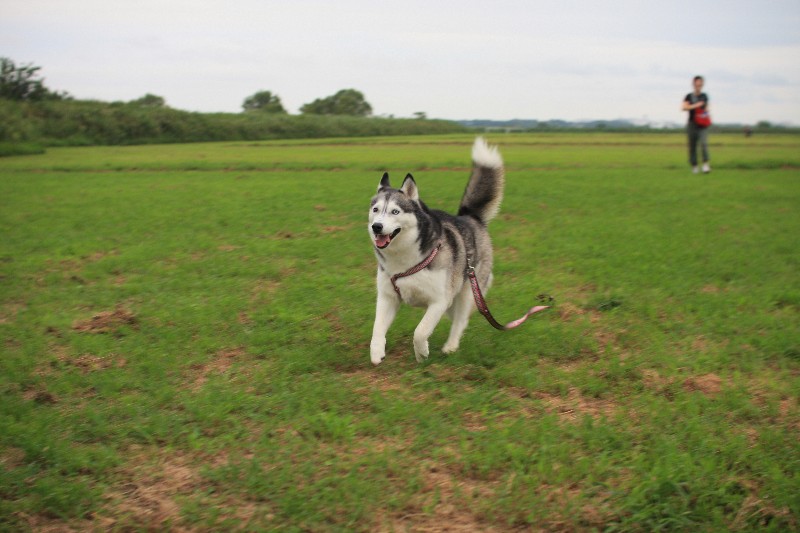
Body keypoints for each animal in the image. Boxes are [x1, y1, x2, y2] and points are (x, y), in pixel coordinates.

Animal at [368, 137, 504, 365]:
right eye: (375, 210)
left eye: (395, 211)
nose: (376, 226)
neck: (404, 260)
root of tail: (470, 217)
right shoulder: (387, 297)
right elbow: (377, 328)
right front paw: (376, 353)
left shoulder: (440, 300)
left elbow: (420, 331)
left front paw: (422, 353)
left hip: (468, 291)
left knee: (460, 320)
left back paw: (451, 346)